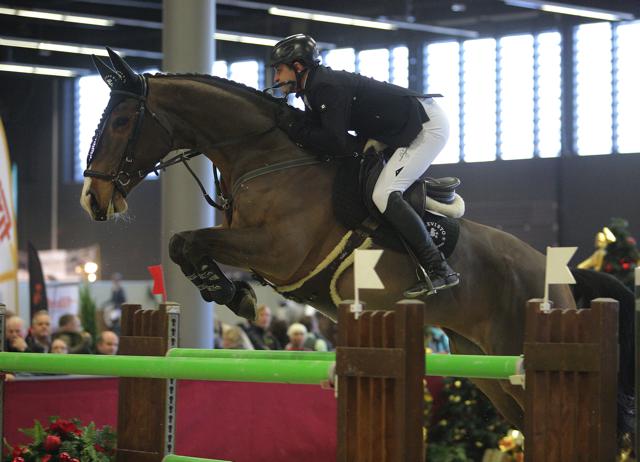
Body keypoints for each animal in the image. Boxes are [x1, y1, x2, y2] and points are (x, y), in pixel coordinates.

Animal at [79, 48, 632, 438]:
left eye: (122, 121)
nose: (91, 199)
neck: (264, 155)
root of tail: (560, 277)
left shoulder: (278, 250)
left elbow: (185, 240)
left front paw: (233, 295)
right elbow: (186, 245)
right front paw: (233, 293)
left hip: (517, 350)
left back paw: (440, 275)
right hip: (485, 365)